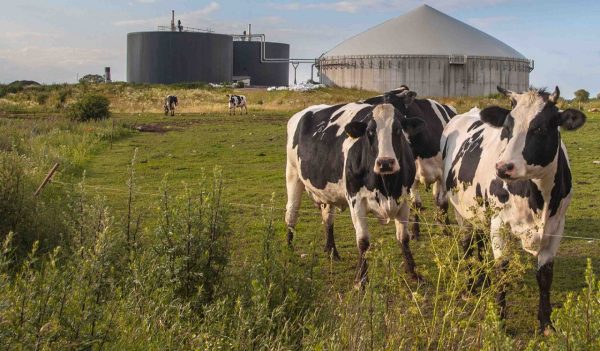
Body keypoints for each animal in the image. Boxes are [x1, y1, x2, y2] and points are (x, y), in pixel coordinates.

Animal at [286, 99, 426, 286]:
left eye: (397, 130)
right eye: (370, 132)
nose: (385, 163)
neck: (386, 186)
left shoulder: (403, 200)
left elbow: (403, 238)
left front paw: (413, 273)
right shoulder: (356, 201)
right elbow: (363, 241)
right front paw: (361, 279)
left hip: (327, 194)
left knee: (328, 219)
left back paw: (332, 252)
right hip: (293, 175)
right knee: (291, 214)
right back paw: (289, 250)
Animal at [364, 86, 458, 238]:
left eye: (388, 99)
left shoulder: (443, 175)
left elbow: (443, 203)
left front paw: (447, 229)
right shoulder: (412, 177)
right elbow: (416, 204)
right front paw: (415, 231)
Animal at [440, 86, 584, 334]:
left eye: (539, 128)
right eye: (507, 127)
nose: (503, 167)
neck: (538, 199)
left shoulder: (557, 227)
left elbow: (545, 275)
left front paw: (546, 323)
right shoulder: (500, 224)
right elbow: (502, 270)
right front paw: (499, 321)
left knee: (479, 242)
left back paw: (481, 280)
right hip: (461, 210)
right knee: (467, 245)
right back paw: (470, 287)